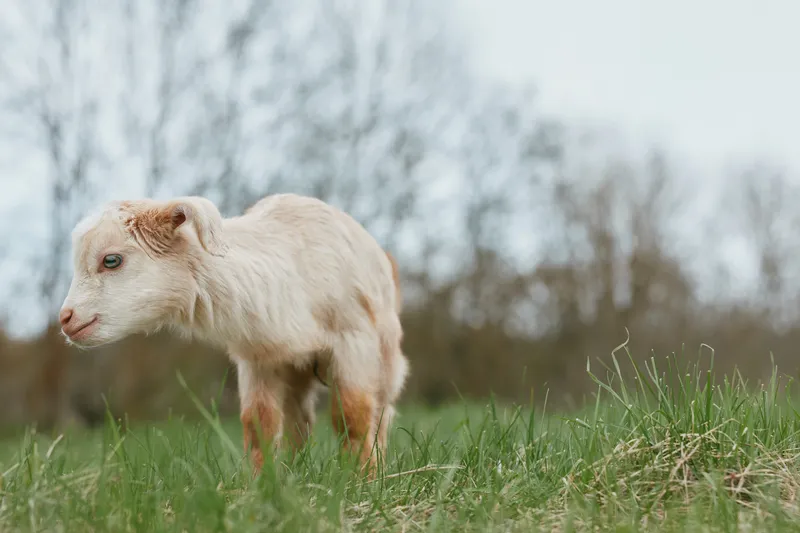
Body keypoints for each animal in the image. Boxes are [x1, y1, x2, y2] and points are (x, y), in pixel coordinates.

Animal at [59, 193, 409, 474]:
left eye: (111, 260)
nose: (66, 319)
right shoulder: (258, 361)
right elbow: (258, 425)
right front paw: (261, 486)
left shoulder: (354, 340)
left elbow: (353, 415)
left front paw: (360, 479)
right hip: (295, 372)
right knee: (298, 423)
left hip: (386, 356)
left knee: (382, 412)